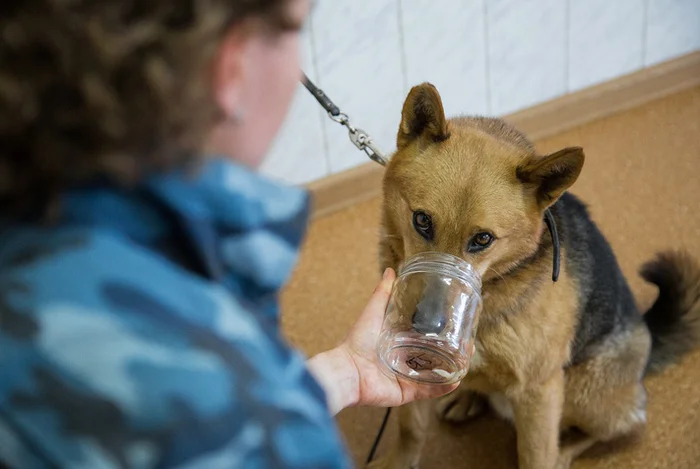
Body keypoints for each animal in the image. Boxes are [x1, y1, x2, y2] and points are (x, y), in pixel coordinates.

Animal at [370, 83, 700, 468]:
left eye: (483, 239)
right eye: (421, 220)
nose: (427, 326)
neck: (493, 289)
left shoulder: (539, 391)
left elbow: (535, 455)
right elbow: (411, 428)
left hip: (584, 392)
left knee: (620, 427)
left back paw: (566, 452)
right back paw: (468, 398)